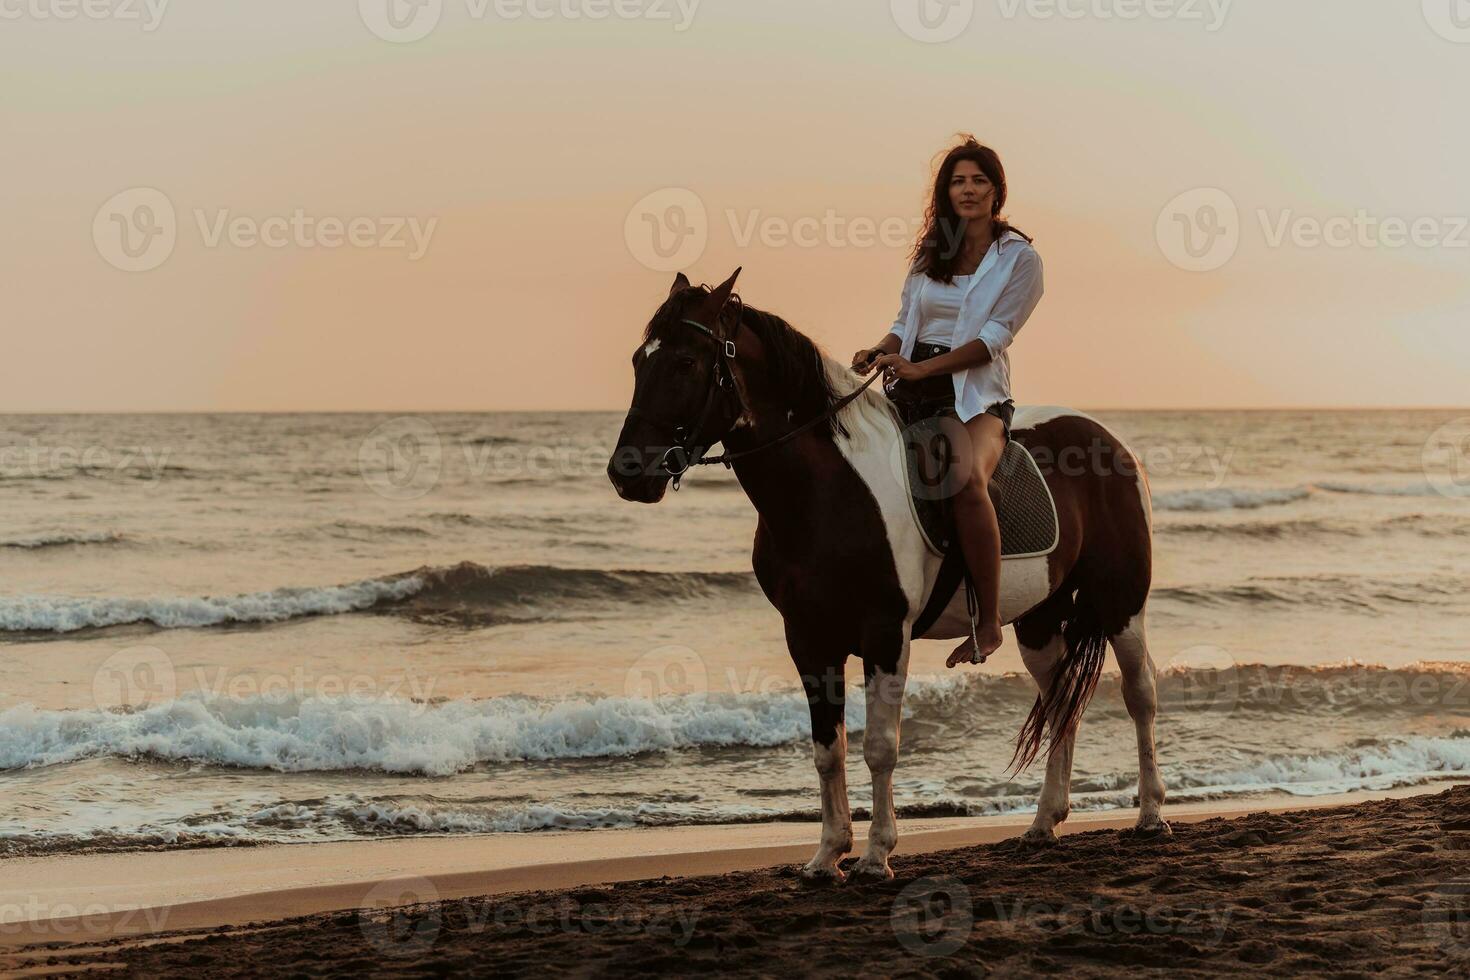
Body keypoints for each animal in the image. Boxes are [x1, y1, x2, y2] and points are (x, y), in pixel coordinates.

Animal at [602, 271, 1164, 887]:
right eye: (638, 360)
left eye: (685, 362)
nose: (627, 473)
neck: (829, 493)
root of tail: (1112, 443)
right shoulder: (808, 639)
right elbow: (828, 750)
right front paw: (827, 855)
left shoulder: (885, 634)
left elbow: (880, 747)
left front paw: (876, 855)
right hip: (1039, 621)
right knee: (1061, 700)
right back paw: (1044, 822)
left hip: (1122, 603)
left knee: (1140, 693)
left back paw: (1151, 814)